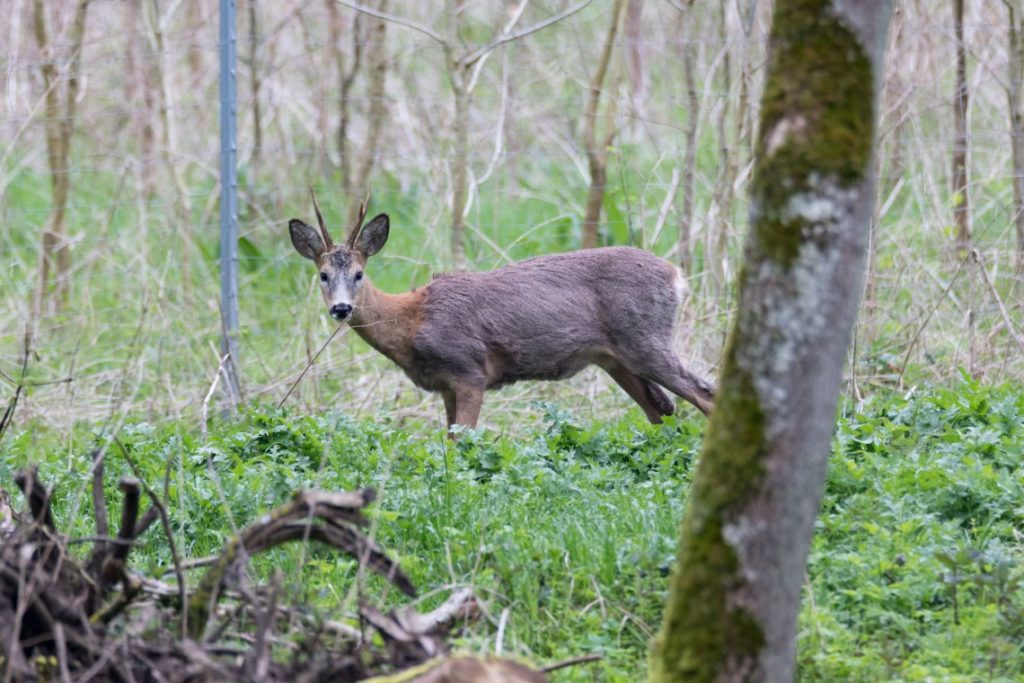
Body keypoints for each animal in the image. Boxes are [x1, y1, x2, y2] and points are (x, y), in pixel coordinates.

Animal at [288, 194, 716, 432]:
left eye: (359, 274)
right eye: (323, 275)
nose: (341, 308)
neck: (413, 321)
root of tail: (677, 275)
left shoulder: (469, 371)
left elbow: (463, 444)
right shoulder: (445, 385)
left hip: (646, 338)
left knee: (705, 393)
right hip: (615, 358)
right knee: (662, 411)